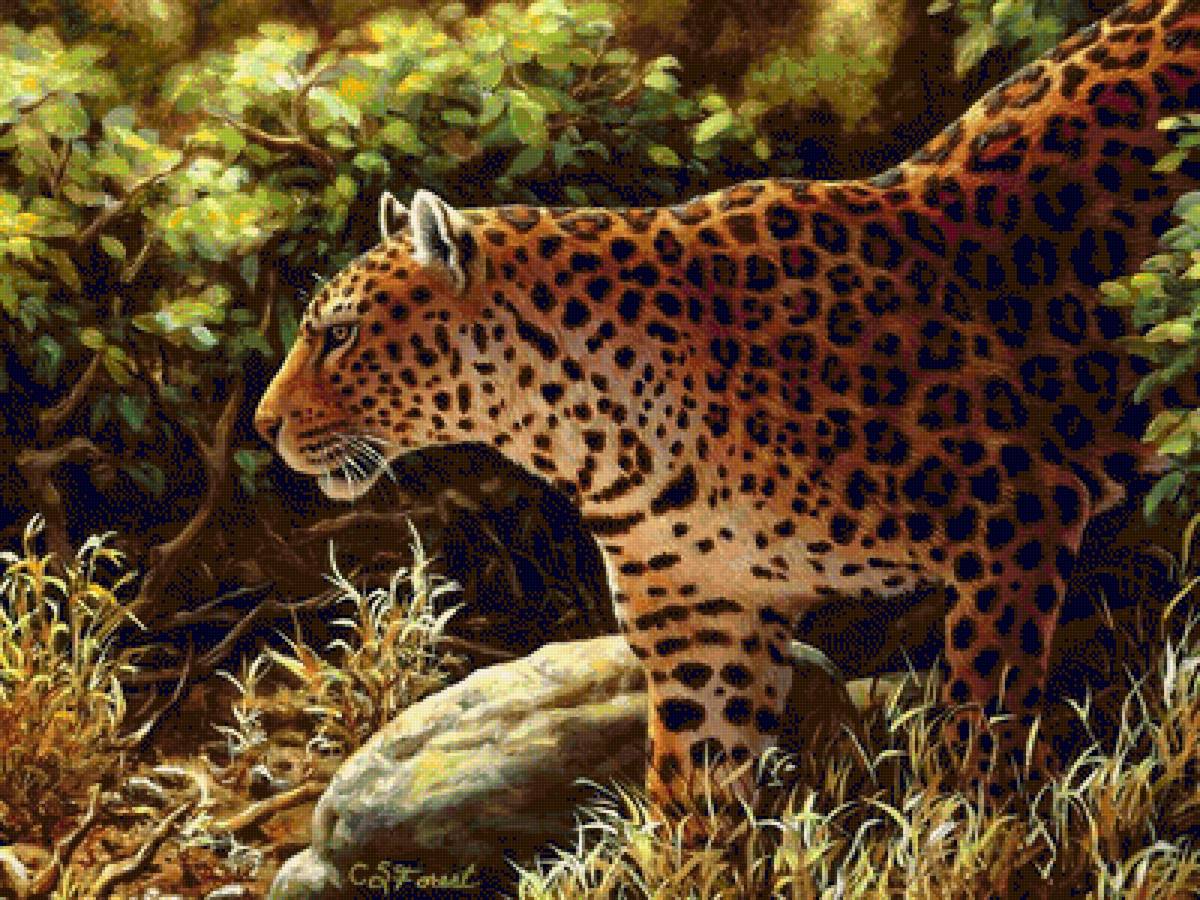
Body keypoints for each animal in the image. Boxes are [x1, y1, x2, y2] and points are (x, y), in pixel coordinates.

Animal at [255, 0, 1200, 816]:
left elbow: (979, 718)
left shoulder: (1012, 522)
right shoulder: (702, 629)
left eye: (339, 335)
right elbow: (691, 800)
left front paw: (979, 827)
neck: (589, 435)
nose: (264, 426)